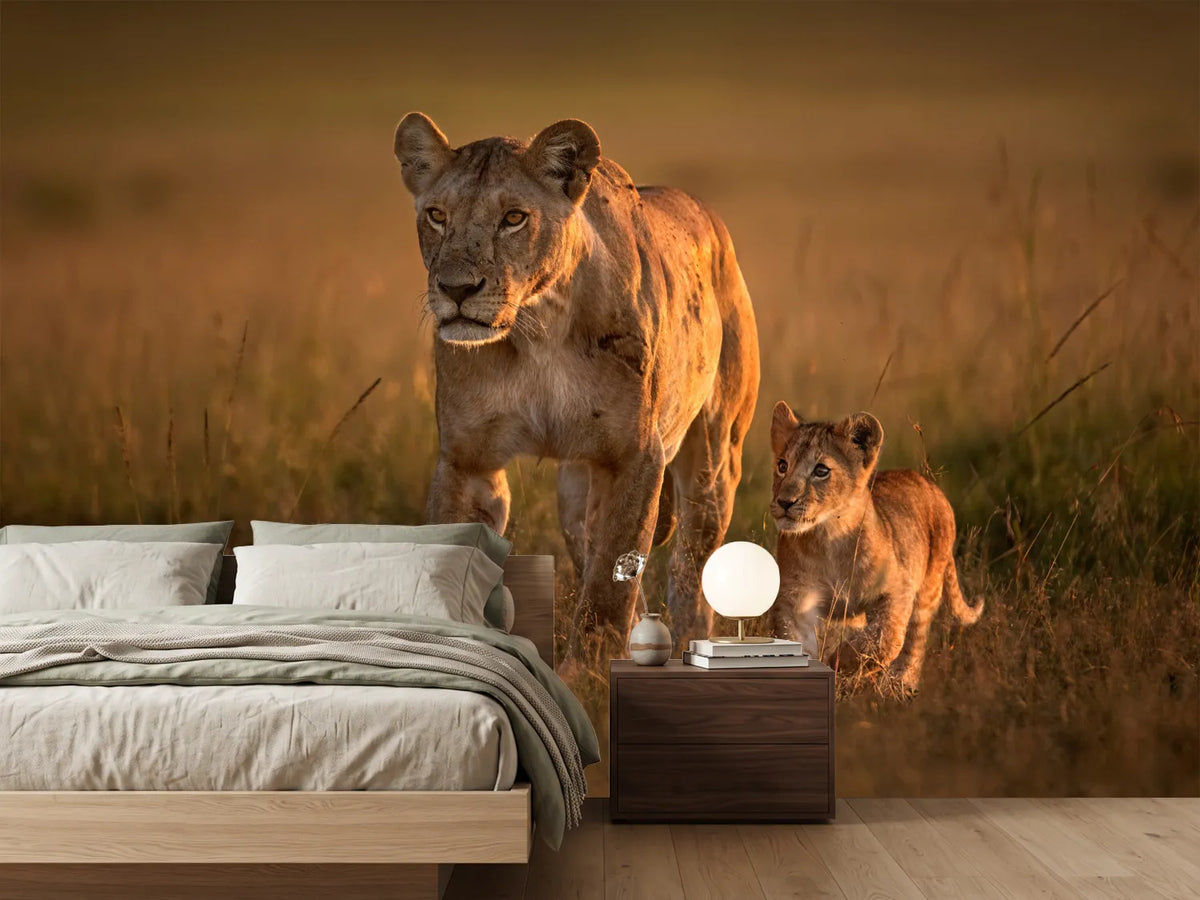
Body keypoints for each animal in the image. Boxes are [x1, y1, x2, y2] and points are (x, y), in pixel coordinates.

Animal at [393, 113, 760, 661]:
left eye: (514, 218)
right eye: (437, 215)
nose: (456, 289)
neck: (537, 329)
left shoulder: (634, 456)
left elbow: (611, 584)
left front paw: (589, 668)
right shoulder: (467, 461)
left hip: (714, 460)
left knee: (692, 565)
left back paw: (689, 640)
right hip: (574, 493)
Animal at [768, 402, 983, 690]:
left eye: (821, 471)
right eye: (782, 465)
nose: (784, 502)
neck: (828, 536)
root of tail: (928, 482)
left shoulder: (897, 588)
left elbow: (885, 637)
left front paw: (841, 662)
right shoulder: (796, 600)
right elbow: (795, 639)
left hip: (929, 587)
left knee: (915, 641)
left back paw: (900, 685)